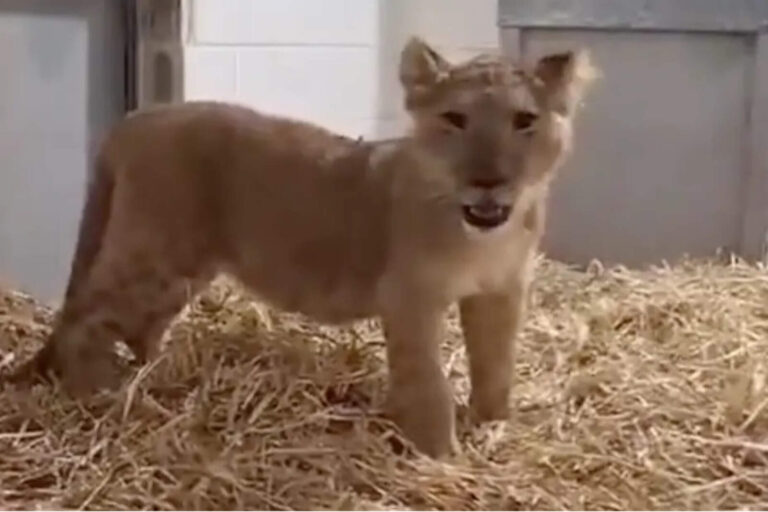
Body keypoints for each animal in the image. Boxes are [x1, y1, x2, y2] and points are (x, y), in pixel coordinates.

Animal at [19, 36, 596, 458]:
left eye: (525, 121)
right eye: (455, 119)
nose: (488, 181)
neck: (482, 235)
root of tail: (136, 118)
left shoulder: (501, 292)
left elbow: (497, 364)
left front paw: (495, 426)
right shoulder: (409, 297)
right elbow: (429, 381)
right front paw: (442, 456)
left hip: (182, 266)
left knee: (138, 324)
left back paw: (155, 380)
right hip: (156, 252)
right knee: (86, 319)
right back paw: (102, 399)